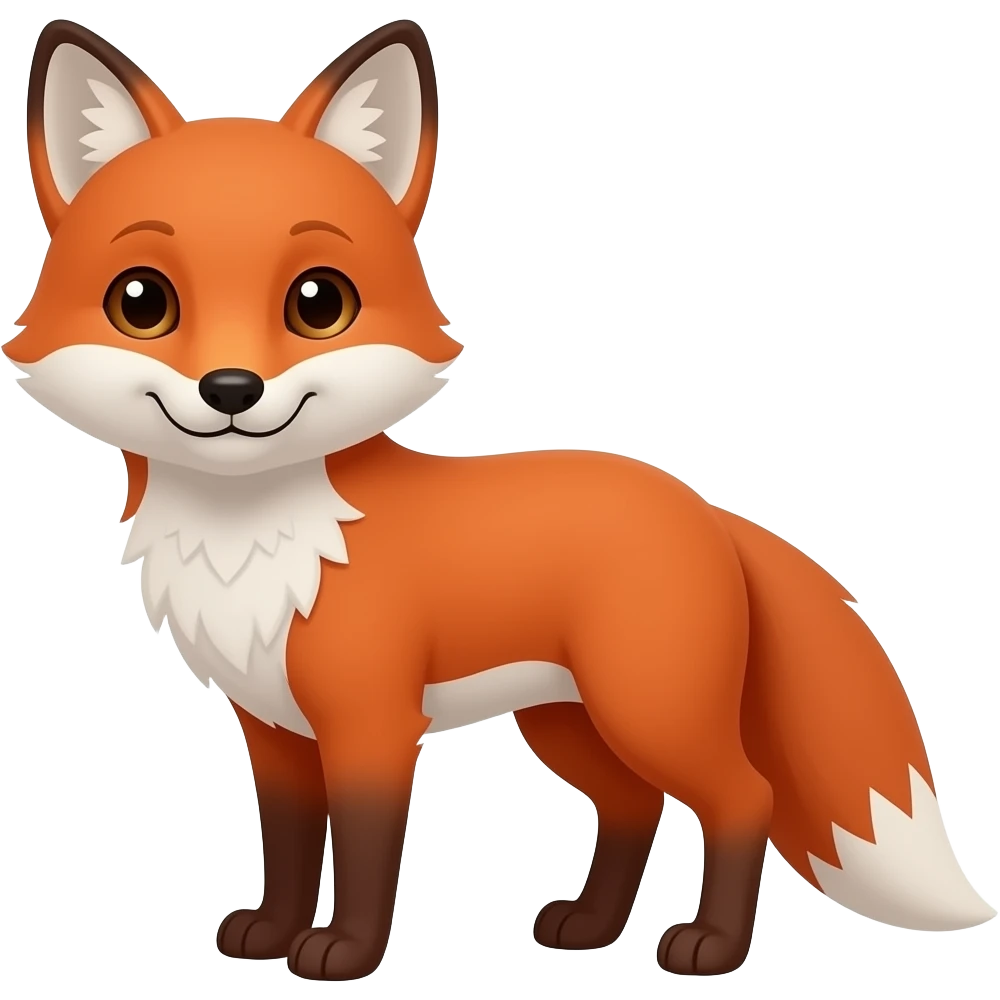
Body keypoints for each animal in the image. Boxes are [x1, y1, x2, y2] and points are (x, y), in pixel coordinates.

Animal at [8, 15, 995, 982]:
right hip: (567, 723)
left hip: (648, 709)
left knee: (741, 794)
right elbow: (286, 845)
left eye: (319, 303)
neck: (256, 540)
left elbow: (363, 851)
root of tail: (702, 507)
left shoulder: (372, 724)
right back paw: (590, 927)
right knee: (634, 806)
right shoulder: (274, 730)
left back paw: (711, 947)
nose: (230, 389)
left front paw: (344, 953)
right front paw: (272, 932)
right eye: (142, 302)